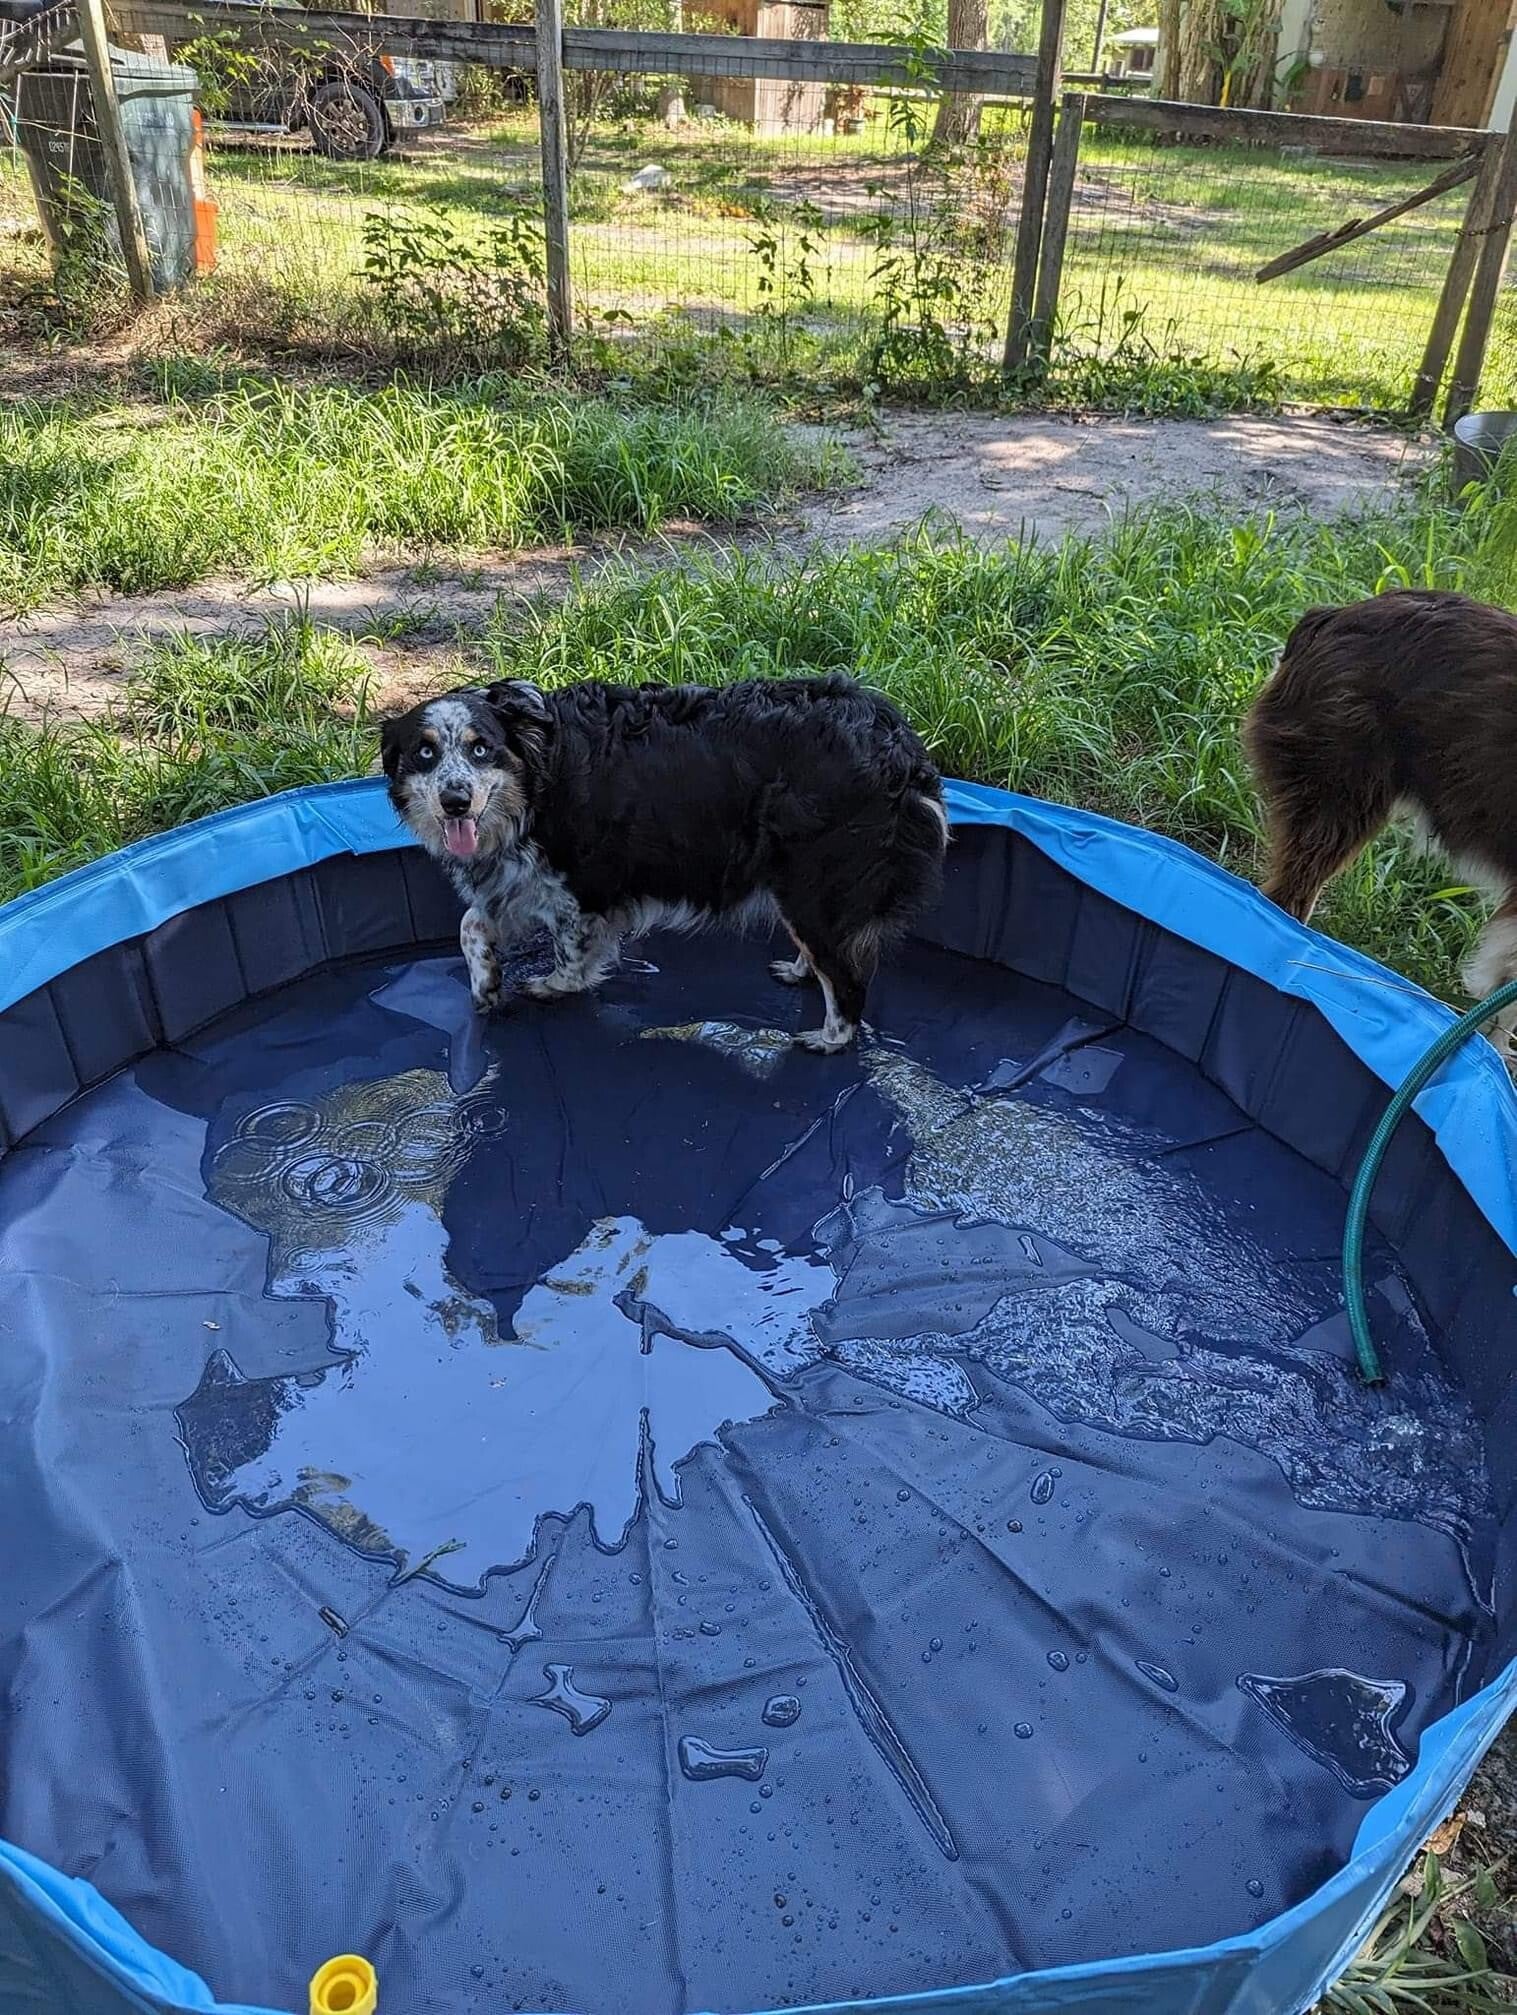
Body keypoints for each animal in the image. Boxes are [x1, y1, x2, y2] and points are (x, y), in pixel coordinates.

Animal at [381, 674, 948, 1052]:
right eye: (425, 753)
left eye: (481, 749)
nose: (455, 802)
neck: (536, 779)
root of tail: (900, 744)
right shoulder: (520, 879)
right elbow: (470, 924)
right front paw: (485, 982)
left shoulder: (582, 890)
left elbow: (570, 954)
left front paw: (552, 986)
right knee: (829, 958)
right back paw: (799, 971)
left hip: (814, 882)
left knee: (848, 977)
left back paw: (828, 1039)